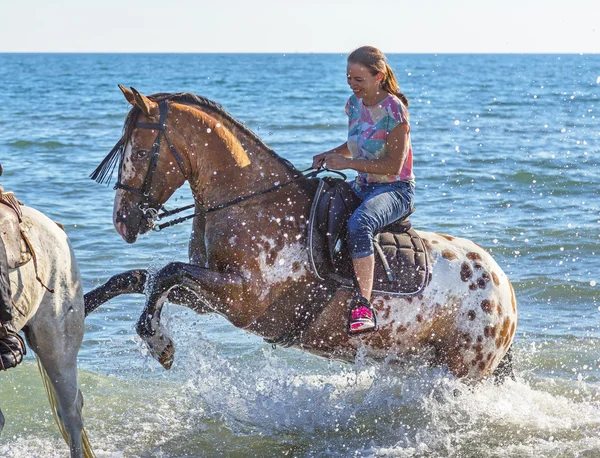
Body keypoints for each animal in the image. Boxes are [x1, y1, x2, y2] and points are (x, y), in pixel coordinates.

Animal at [86, 87, 516, 382]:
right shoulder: (211, 295)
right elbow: (140, 278)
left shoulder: (243, 298)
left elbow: (166, 273)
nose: (122, 221)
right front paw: (82, 304)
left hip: (461, 370)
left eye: (141, 153)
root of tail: (505, 290)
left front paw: (158, 343)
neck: (253, 201)